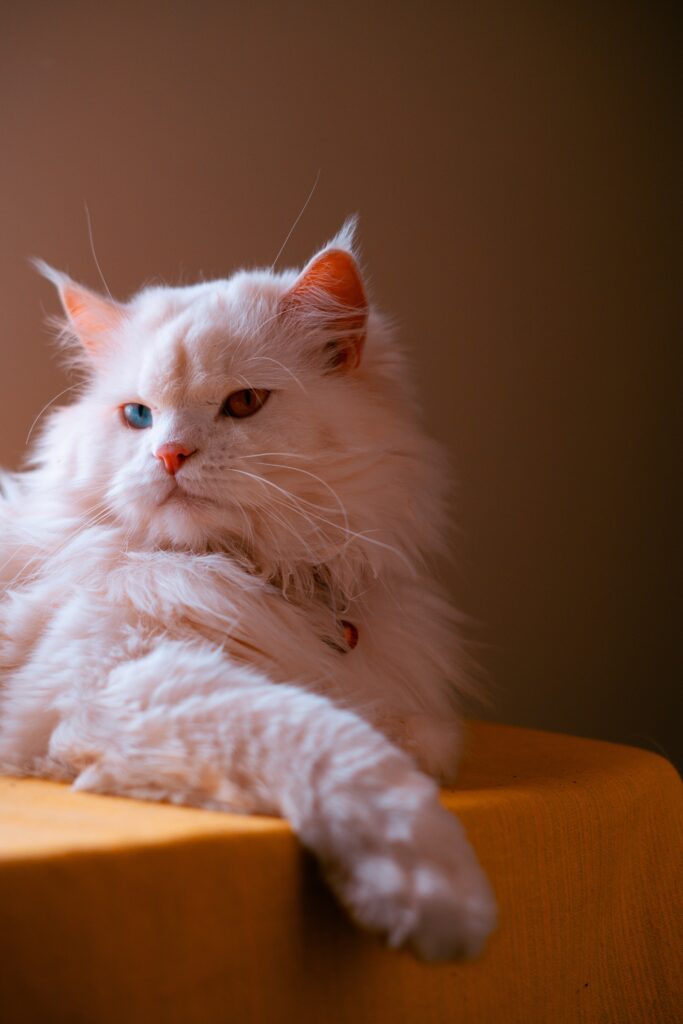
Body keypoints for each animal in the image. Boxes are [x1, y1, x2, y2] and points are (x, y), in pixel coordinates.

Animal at [0, 222, 497, 958]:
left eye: (243, 403)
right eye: (138, 416)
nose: (169, 455)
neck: (267, 575)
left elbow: (423, 740)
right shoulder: (108, 688)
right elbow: (339, 744)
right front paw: (434, 895)